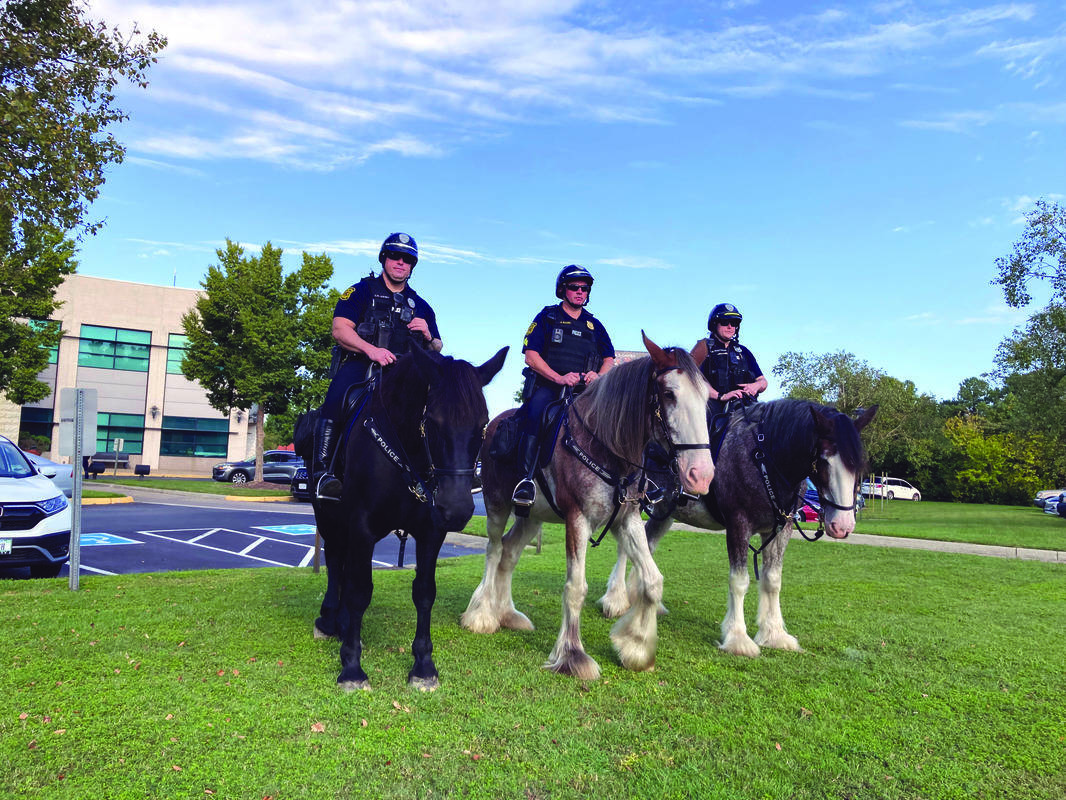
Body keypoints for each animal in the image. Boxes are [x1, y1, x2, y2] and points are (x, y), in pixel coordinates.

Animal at [294, 347, 505, 691]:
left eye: (483, 423)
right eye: (432, 421)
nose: (457, 508)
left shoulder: (431, 532)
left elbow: (424, 592)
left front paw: (423, 664)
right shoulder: (362, 527)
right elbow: (359, 591)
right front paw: (351, 665)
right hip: (326, 516)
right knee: (335, 563)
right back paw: (329, 619)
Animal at [460, 334, 716, 678]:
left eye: (706, 398)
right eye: (668, 394)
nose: (701, 475)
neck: (606, 446)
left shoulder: (627, 520)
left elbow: (652, 581)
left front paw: (637, 648)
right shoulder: (577, 520)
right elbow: (575, 587)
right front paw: (572, 654)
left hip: (532, 516)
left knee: (509, 553)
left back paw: (507, 614)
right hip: (496, 504)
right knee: (494, 550)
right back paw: (482, 615)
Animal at [605, 401, 878, 657]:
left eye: (858, 465)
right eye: (823, 460)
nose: (842, 525)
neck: (763, 459)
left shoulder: (781, 529)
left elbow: (772, 580)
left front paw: (774, 634)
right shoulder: (738, 525)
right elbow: (739, 581)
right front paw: (737, 638)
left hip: (665, 512)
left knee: (647, 545)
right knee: (625, 548)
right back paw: (615, 600)